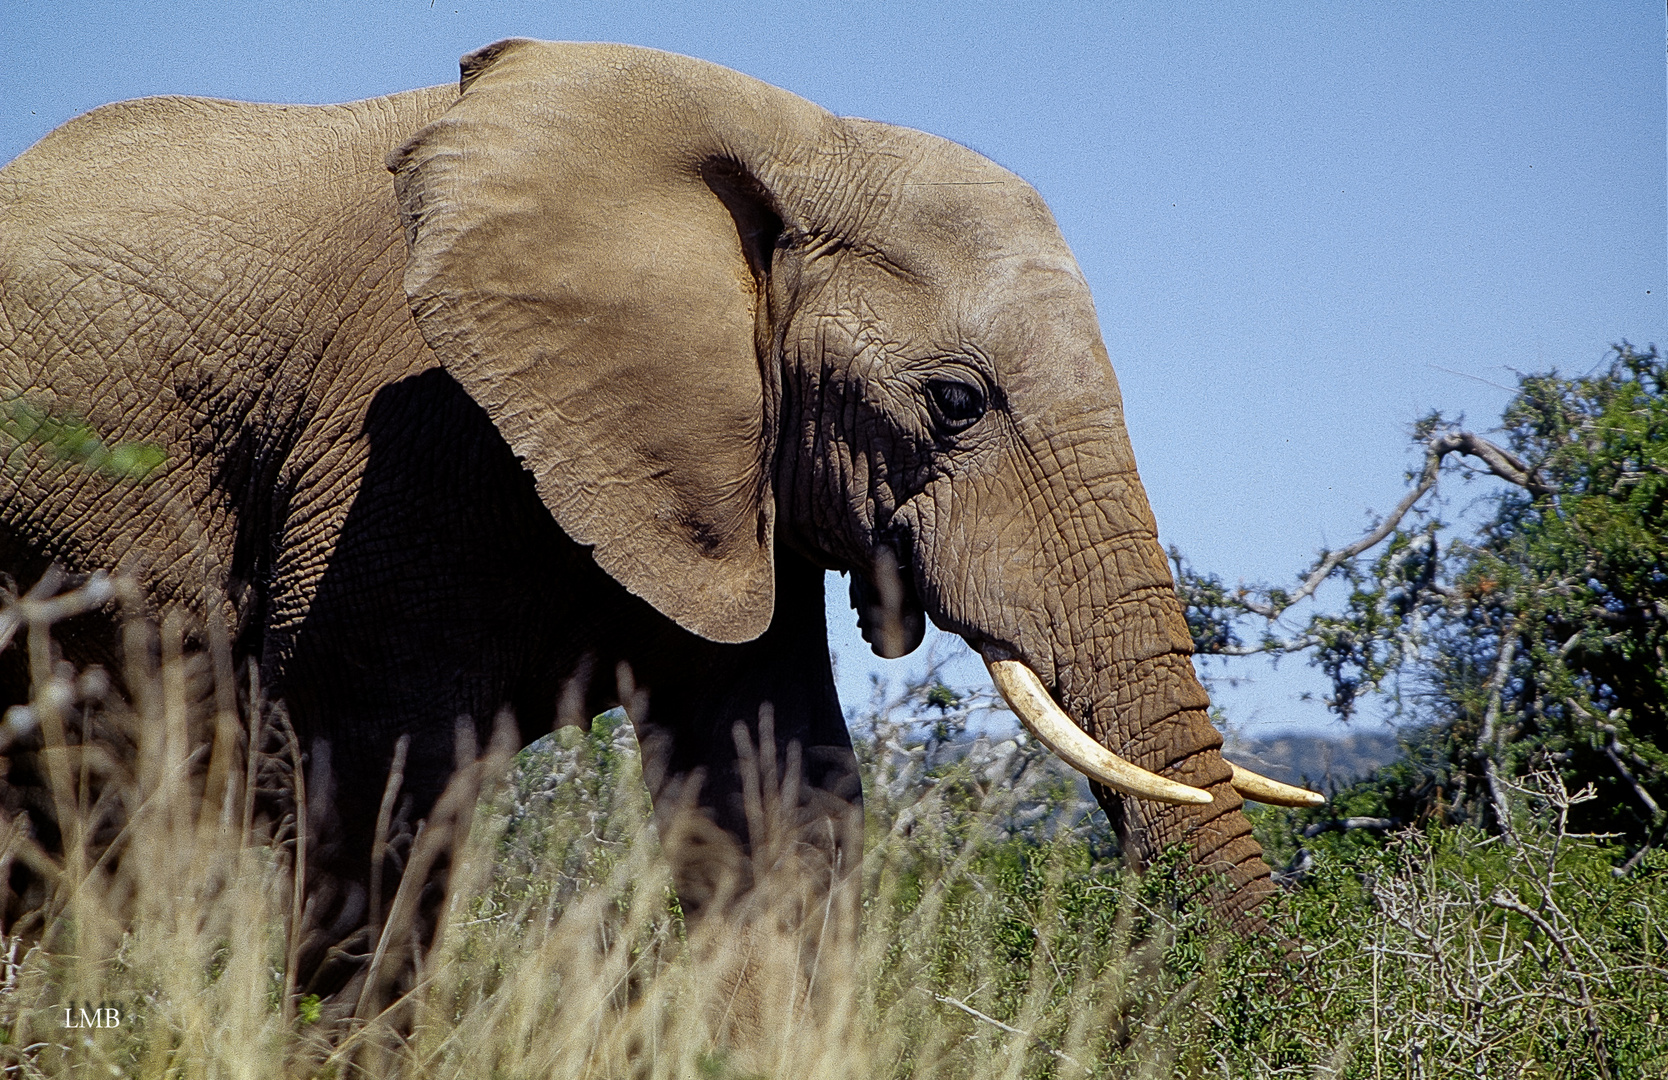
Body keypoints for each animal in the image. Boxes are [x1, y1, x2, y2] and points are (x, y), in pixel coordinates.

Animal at [3, 40, 1327, 954]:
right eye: (957, 403)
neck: (797, 144)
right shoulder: (401, 435)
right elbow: (379, 790)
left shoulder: (723, 461)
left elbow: (779, 805)